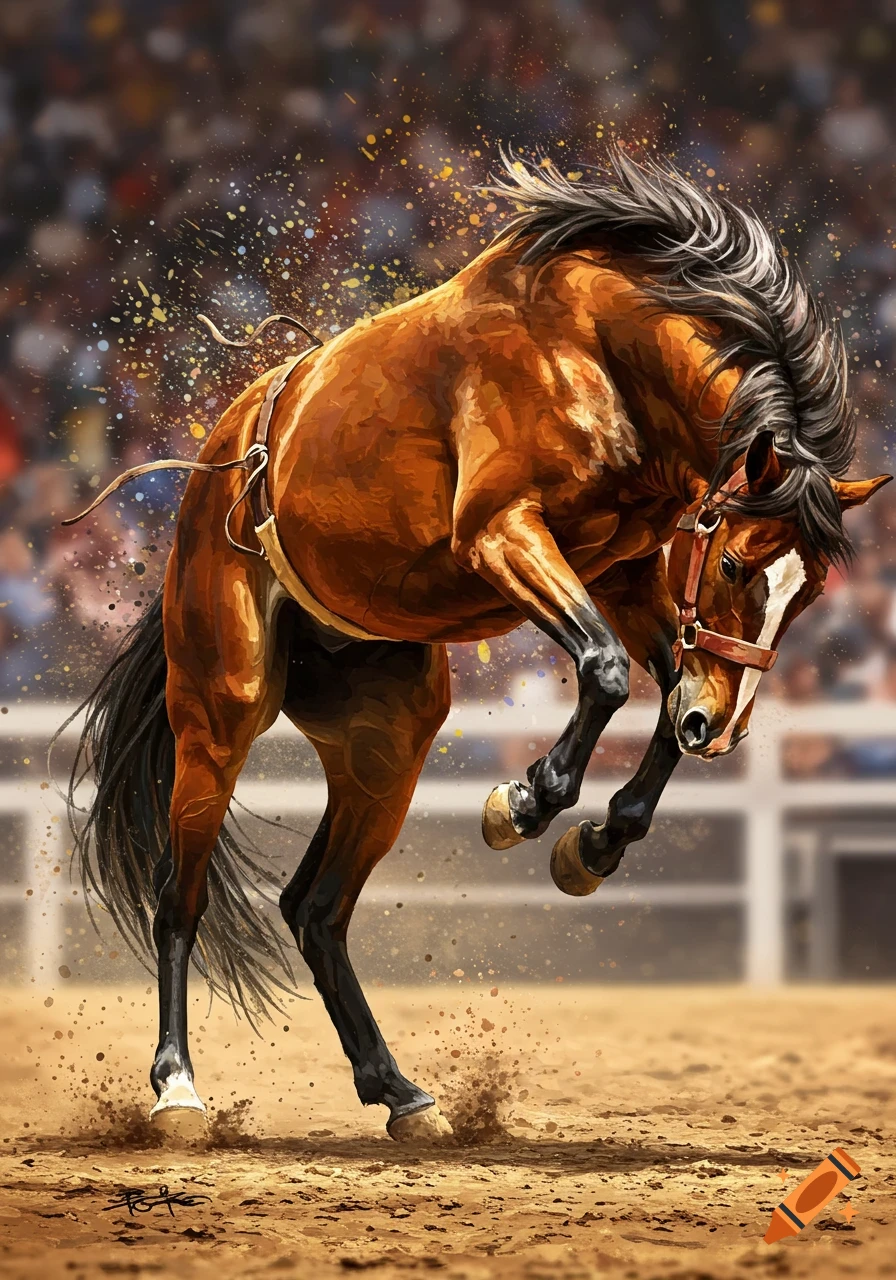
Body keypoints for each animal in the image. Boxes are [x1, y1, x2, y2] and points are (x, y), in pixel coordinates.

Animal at [66, 147, 889, 1143]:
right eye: (734, 562)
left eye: (807, 597)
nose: (719, 730)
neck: (596, 351)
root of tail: (219, 467)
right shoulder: (504, 535)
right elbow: (605, 672)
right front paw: (524, 803)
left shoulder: (626, 571)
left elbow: (655, 692)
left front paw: (595, 845)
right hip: (221, 716)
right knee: (178, 899)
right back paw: (178, 1086)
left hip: (387, 743)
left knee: (316, 909)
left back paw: (399, 1090)